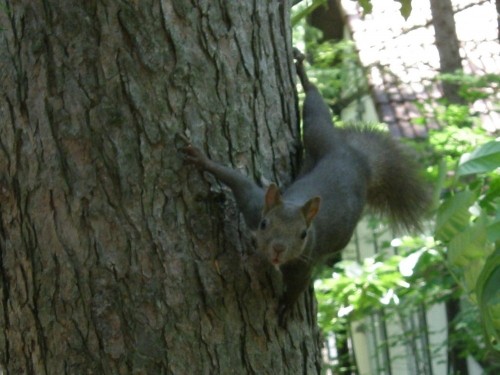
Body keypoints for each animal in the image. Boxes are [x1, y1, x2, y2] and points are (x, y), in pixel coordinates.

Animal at [180, 49, 430, 326]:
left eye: (303, 234)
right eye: (264, 224)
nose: (278, 249)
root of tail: (357, 160)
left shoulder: (305, 258)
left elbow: (299, 284)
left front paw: (287, 306)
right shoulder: (254, 204)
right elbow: (236, 179)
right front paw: (201, 159)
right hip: (321, 138)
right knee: (316, 113)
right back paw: (304, 76)